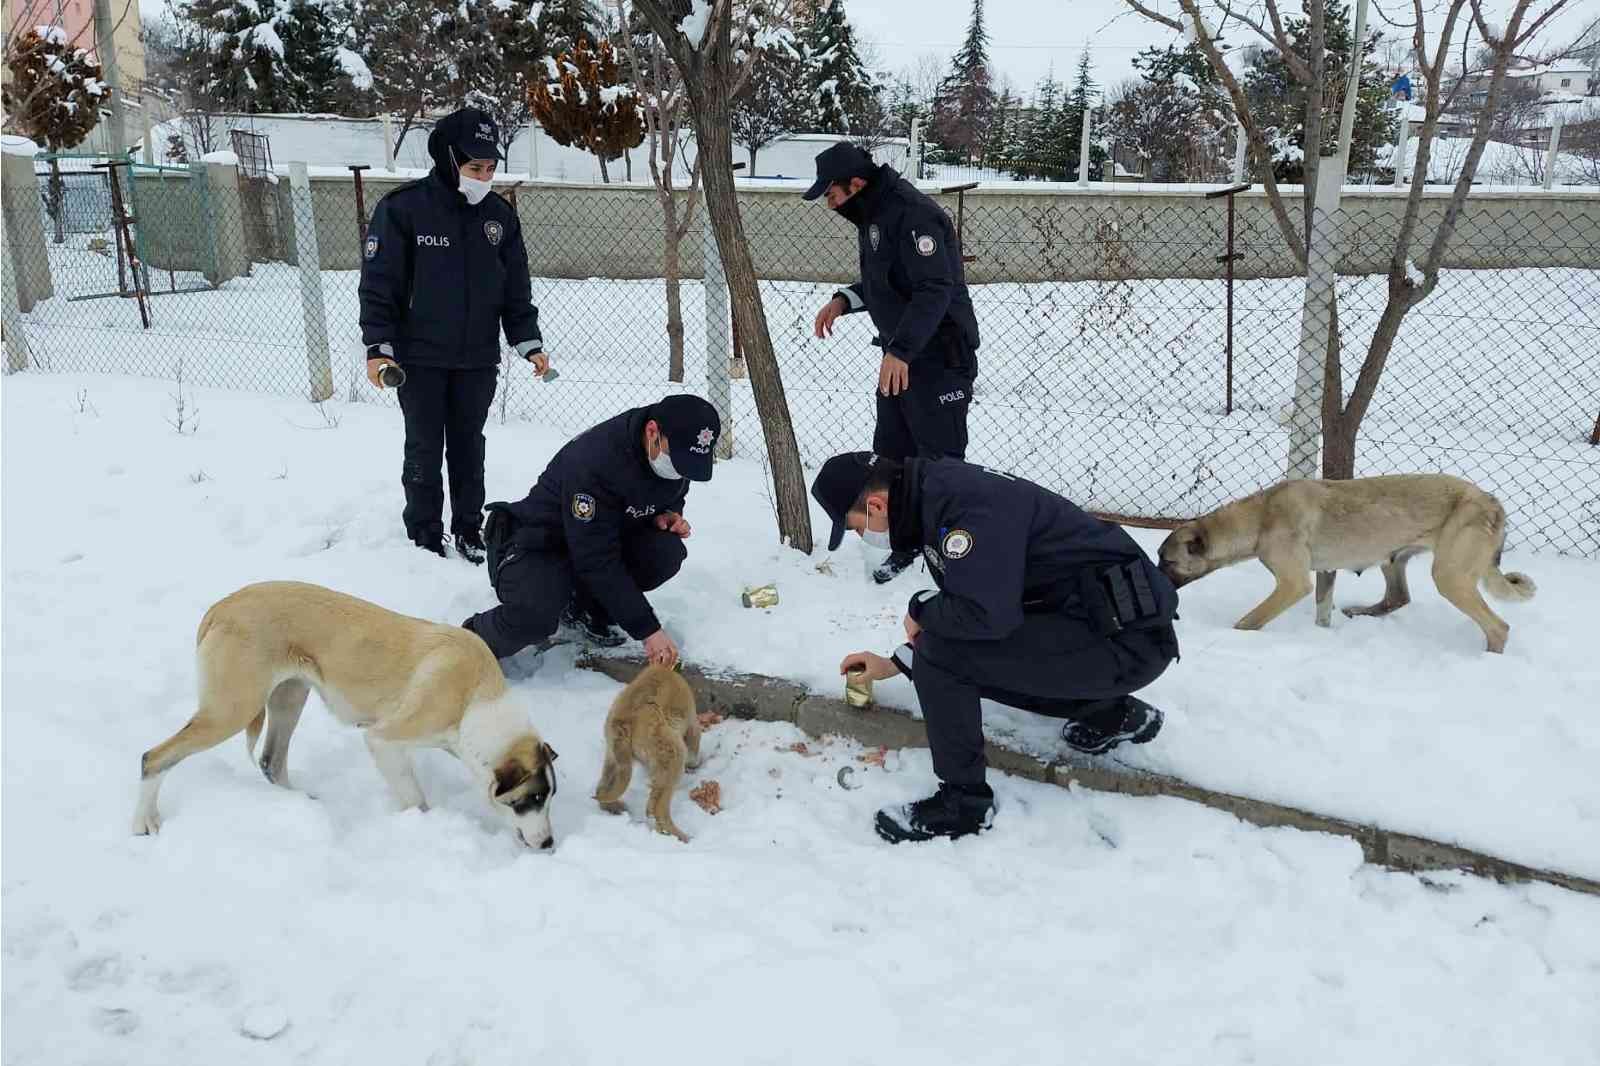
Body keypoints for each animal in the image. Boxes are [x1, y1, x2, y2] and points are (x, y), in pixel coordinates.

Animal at [129, 582, 563, 845]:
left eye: (549, 797)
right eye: (530, 798)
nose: (548, 844)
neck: (475, 698)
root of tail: (220, 606)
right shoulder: (384, 740)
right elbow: (415, 797)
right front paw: (423, 826)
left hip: (289, 697)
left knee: (271, 760)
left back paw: (300, 804)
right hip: (231, 710)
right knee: (153, 757)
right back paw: (143, 823)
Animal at [595, 665, 700, 838]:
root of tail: (626, 723)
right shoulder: (692, 724)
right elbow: (695, 748)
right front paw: (695, 764)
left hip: (614, 757)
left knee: (603, 788)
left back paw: (613, 806)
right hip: (674, 754)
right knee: (658, 808)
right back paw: (680, 836)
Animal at [1164, 470, 1536, 646]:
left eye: (1166, 561)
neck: (1260, 516)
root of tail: (1491, 501)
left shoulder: (1292, 584)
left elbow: (1248, 621)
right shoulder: (1325, 573)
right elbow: (1322, 611)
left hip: (1450, 577)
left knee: (1498, 628)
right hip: (1393, 559)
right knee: (1397, 597)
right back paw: (1360, 612)